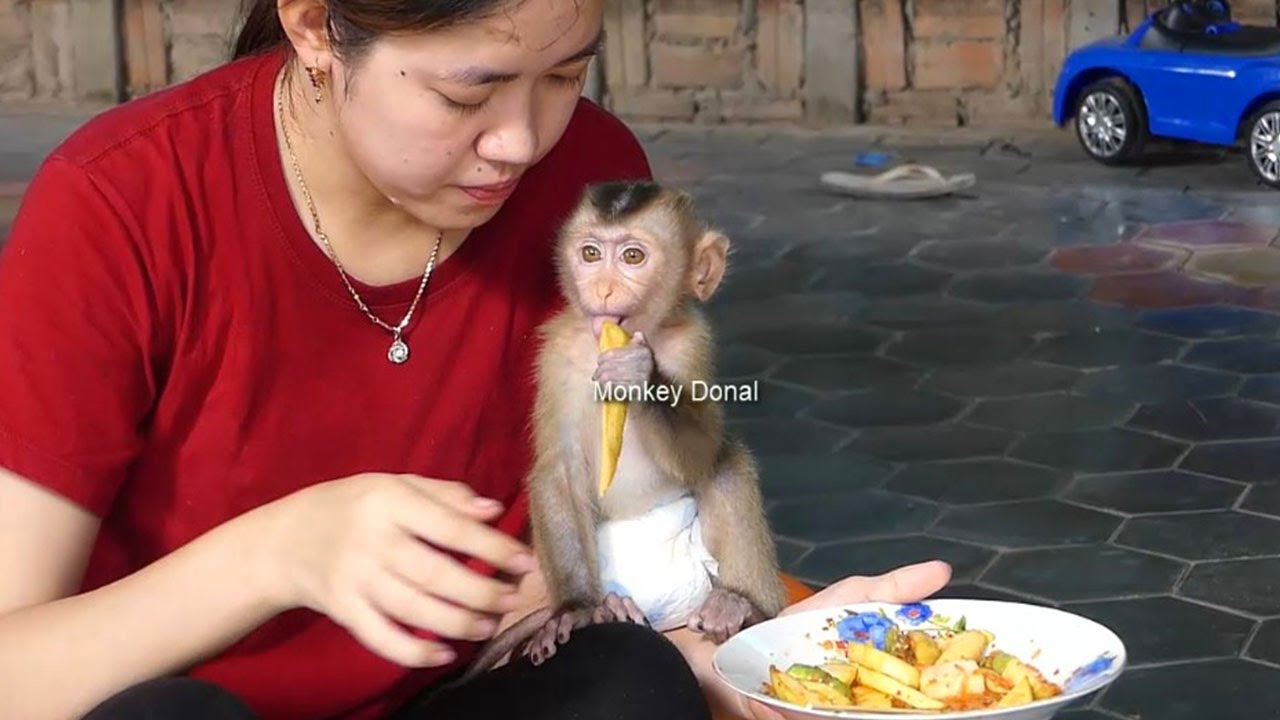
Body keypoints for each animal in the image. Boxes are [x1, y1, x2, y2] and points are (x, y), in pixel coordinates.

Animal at [456, 180, 787, 683]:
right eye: (590, 254)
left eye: (633, 257)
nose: (603, 288)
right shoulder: (557, 352)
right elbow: (559, 468)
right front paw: (575, 609)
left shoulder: (691, 343)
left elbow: (703, 453)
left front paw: (638, 377)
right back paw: (611, 607)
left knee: (726, 465)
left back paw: (742, 606)